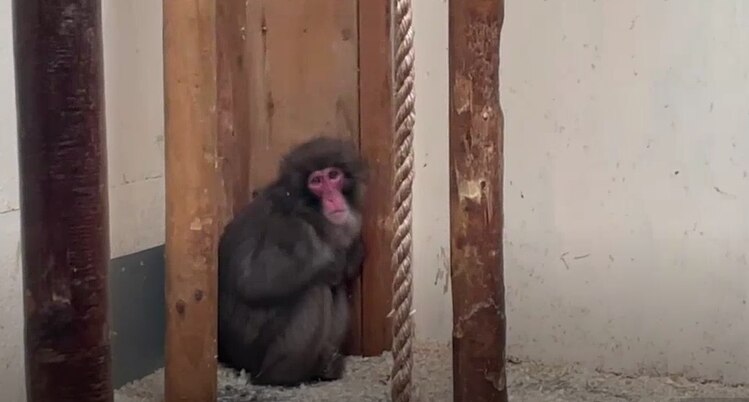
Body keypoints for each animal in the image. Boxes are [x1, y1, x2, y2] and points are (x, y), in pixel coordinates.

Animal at [217, 136, 367, 386]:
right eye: (316, 181)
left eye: (333, 175)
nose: (332, 197)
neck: (309, 208)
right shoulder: (293, 230)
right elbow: (255, 282)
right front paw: (335, 258)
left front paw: (351, 253)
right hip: (254, 352)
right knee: (316, 288)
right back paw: (280, 377)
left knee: (334, 287)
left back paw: (324, 367)